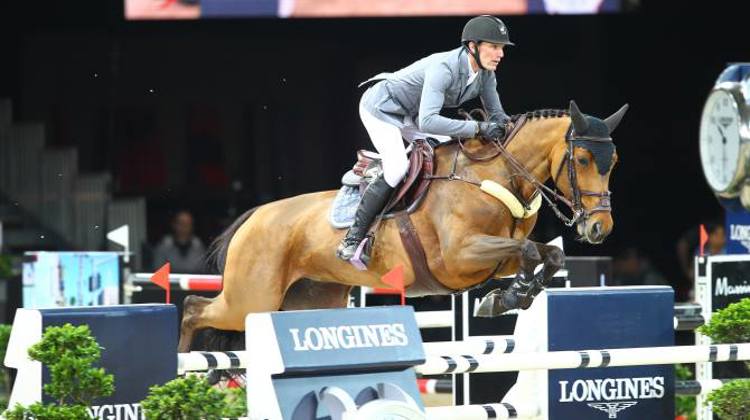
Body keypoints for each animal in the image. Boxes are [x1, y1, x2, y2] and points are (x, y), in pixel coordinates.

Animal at [181, 101, 628, 352]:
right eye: (583, 160)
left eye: (615, 162)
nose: (599, 229)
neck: (497, 175)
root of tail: (254, 216)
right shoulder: (460, 257)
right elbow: (530, 250)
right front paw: (507, 297)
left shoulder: (492, 257)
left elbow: (547, 254)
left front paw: (507, 297)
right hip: (250, 299)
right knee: (193, 309)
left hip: (308, 299)